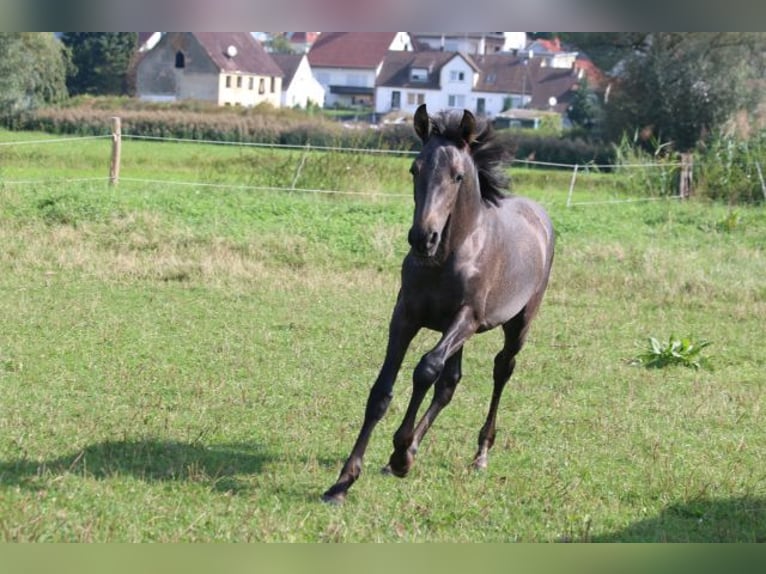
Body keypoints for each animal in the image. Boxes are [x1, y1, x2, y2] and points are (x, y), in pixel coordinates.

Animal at [320, 106, 556, 506]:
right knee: (451, 383)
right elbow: (382, 392)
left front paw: (400, 453)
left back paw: (479, 455)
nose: (422, 238)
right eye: (415, 169)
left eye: (458, 176)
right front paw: (343, 482)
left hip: (517, 324)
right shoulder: (405, 316)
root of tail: (540, 216)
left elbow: (425, 370)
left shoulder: (466, 319)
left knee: (501, 370)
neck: (447, 256)